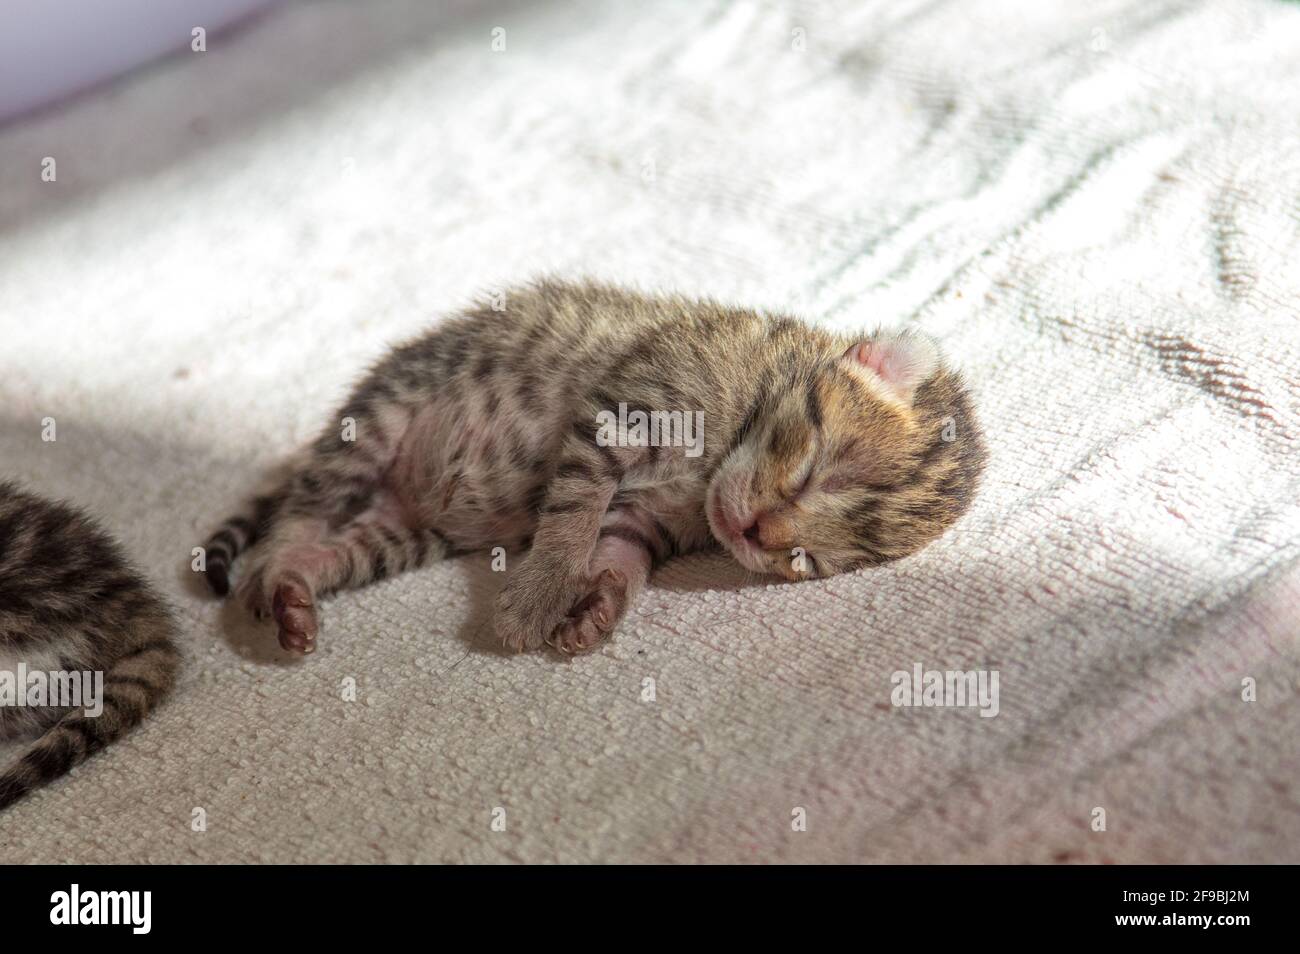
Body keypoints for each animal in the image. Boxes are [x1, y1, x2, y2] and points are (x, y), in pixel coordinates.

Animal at [200, 278, 982, 657]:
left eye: (807, 561)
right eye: (816, 469)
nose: (755, 534)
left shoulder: (648, 518)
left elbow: (619, 548)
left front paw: (598, 603)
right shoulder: (625, 410)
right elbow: (574, 511)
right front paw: (541, 591)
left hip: (403, 533)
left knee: (344, 548)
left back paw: (298, 591)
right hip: (383, 415)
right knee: (303, 508)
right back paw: (275, 568)